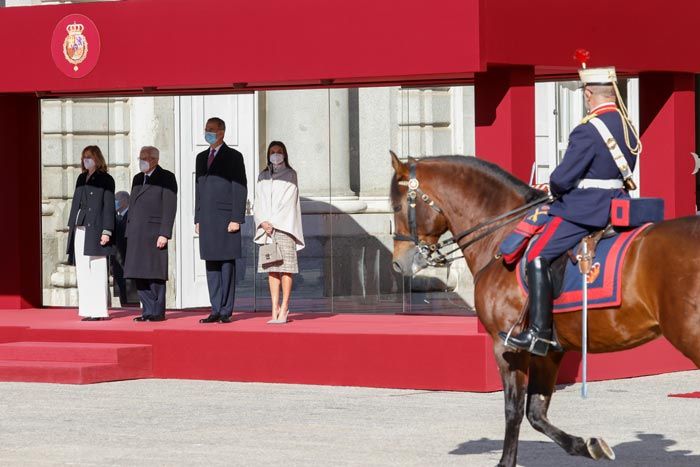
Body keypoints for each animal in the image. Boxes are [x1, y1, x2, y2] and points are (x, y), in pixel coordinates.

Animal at [388, 154, 700, 467]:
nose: (399, 263)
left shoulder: (506, 347)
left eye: (397, 206)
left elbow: (513, 410)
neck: (500, 237)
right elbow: (536, 412)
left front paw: (506, 461)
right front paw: (587, 445)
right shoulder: (548, 351)